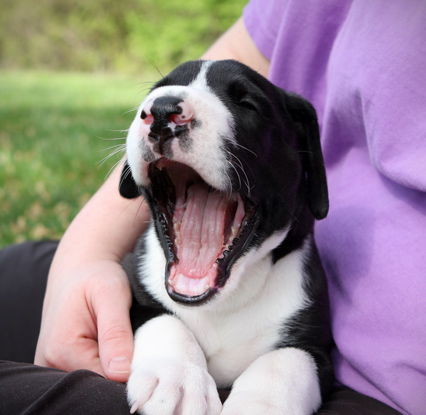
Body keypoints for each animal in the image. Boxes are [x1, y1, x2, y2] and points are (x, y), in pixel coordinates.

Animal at [119, 59, 332, 415]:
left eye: (247, 104)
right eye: (155, 93)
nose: (161, 110)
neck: (226, 301)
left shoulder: (316, 347)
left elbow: (284, 362)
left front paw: (258, 406)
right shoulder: (132, 283)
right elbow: (162, 319)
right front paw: (178, 376)